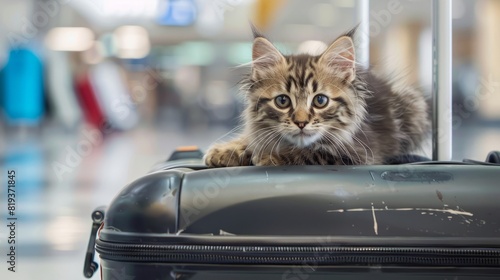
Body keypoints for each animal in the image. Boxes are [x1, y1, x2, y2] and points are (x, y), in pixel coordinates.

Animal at [203, 26, 430, 166]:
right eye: (282, 101)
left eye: (320, 101)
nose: (301, 123)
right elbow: (252, 139)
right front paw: (227, 151)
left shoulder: (358, 153)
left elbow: (313, 152)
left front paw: (270, 157)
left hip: (414, 106)